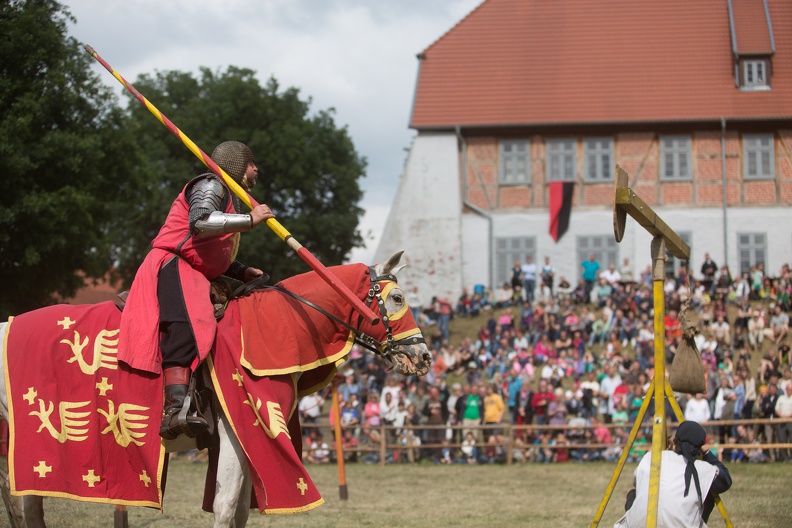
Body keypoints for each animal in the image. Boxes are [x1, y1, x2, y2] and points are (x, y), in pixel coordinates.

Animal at [0, 254, 430, 524]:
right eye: (396, 297)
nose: (423, 356)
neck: (281, 322)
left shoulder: (246, 435)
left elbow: (238, 510)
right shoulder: (238, 427)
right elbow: (225, 507)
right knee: (25, 506)